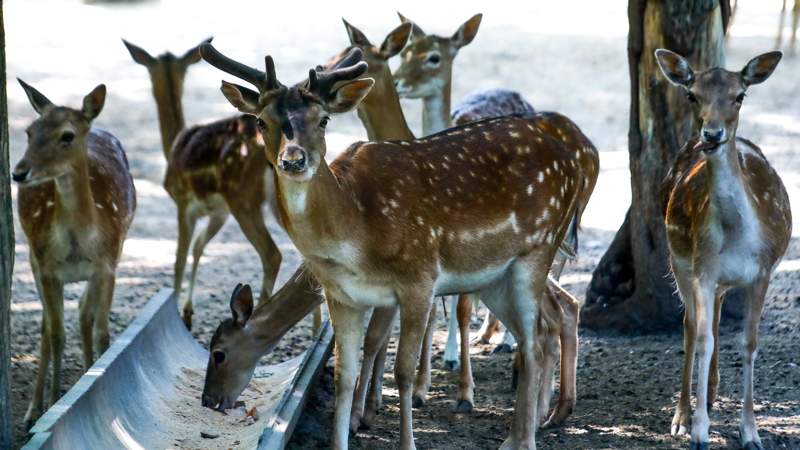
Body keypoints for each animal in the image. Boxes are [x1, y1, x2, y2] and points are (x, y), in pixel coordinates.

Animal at [12, 80, 136, 428]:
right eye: (29, 131)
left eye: (67, 135)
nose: (19, 172)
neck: (77, 245)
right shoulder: (46, 267)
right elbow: (56, 335)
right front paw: (53, 403)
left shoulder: (107, 266)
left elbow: (102, 332)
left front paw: (95, 383)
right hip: (31, 257)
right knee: (47, 326)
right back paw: (32, 410)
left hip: (116, 253)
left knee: (83, 312)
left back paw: (86, 371)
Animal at [125, 38, 306, 328]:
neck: (175, 143)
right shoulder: (218, 213)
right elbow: (199, 246)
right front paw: (187, 312)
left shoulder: (183, 202)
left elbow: (179, 258)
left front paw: (179, 313)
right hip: (275, 202)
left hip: (243, 200)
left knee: (272, 254)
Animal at [202, 39, 592, 450]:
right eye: (261, 121)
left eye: (323, 119)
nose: (293, 160)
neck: (354, 237)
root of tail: (575, 163)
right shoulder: (341, 295)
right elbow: (344, 374)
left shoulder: (419, 278)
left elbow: (400, 370)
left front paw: (394, 429)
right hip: (494, 278)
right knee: (538, 331)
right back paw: (519, 434)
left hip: (538, 249)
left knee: (534, 342)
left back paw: (527, 434)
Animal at [656, 49, 792, 450]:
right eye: (691, 94)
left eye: (740, 95)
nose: (712, 134)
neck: (736, 237)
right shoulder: (702, 270)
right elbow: (702, 339)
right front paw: (698, 430)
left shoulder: (762, 272)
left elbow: (748, 342)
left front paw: (751, 433)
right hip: (679, 261)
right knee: (692, 326)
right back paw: (683, 414)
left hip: (720, 281)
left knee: (715, 316)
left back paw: (714, 394)